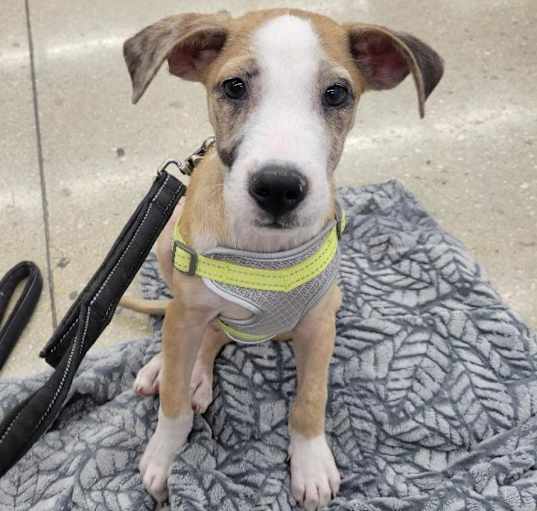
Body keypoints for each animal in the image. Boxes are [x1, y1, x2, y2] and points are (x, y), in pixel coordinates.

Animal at [122, 9, 444, 511]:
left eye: (336, 94)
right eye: (234, 87)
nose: (278, 188)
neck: (263, 254)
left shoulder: (319, 323)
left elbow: (310, 399)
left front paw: (310, 464)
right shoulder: (187, 309)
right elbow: (172, 402)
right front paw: (164, 456)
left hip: (332, 299)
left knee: (218, 333)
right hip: (164, 250)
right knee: (194, 332)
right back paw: (175, 369)